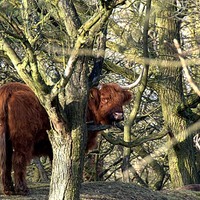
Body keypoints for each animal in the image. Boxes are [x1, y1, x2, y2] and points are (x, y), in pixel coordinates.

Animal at [0, 81, 133, 195]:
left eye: (121, 100)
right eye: (105, 98)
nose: (119, 115)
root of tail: (9, 88)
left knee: (5, 160)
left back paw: (8, 190)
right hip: (23, 139)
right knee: (18, 159)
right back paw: (22, 189)